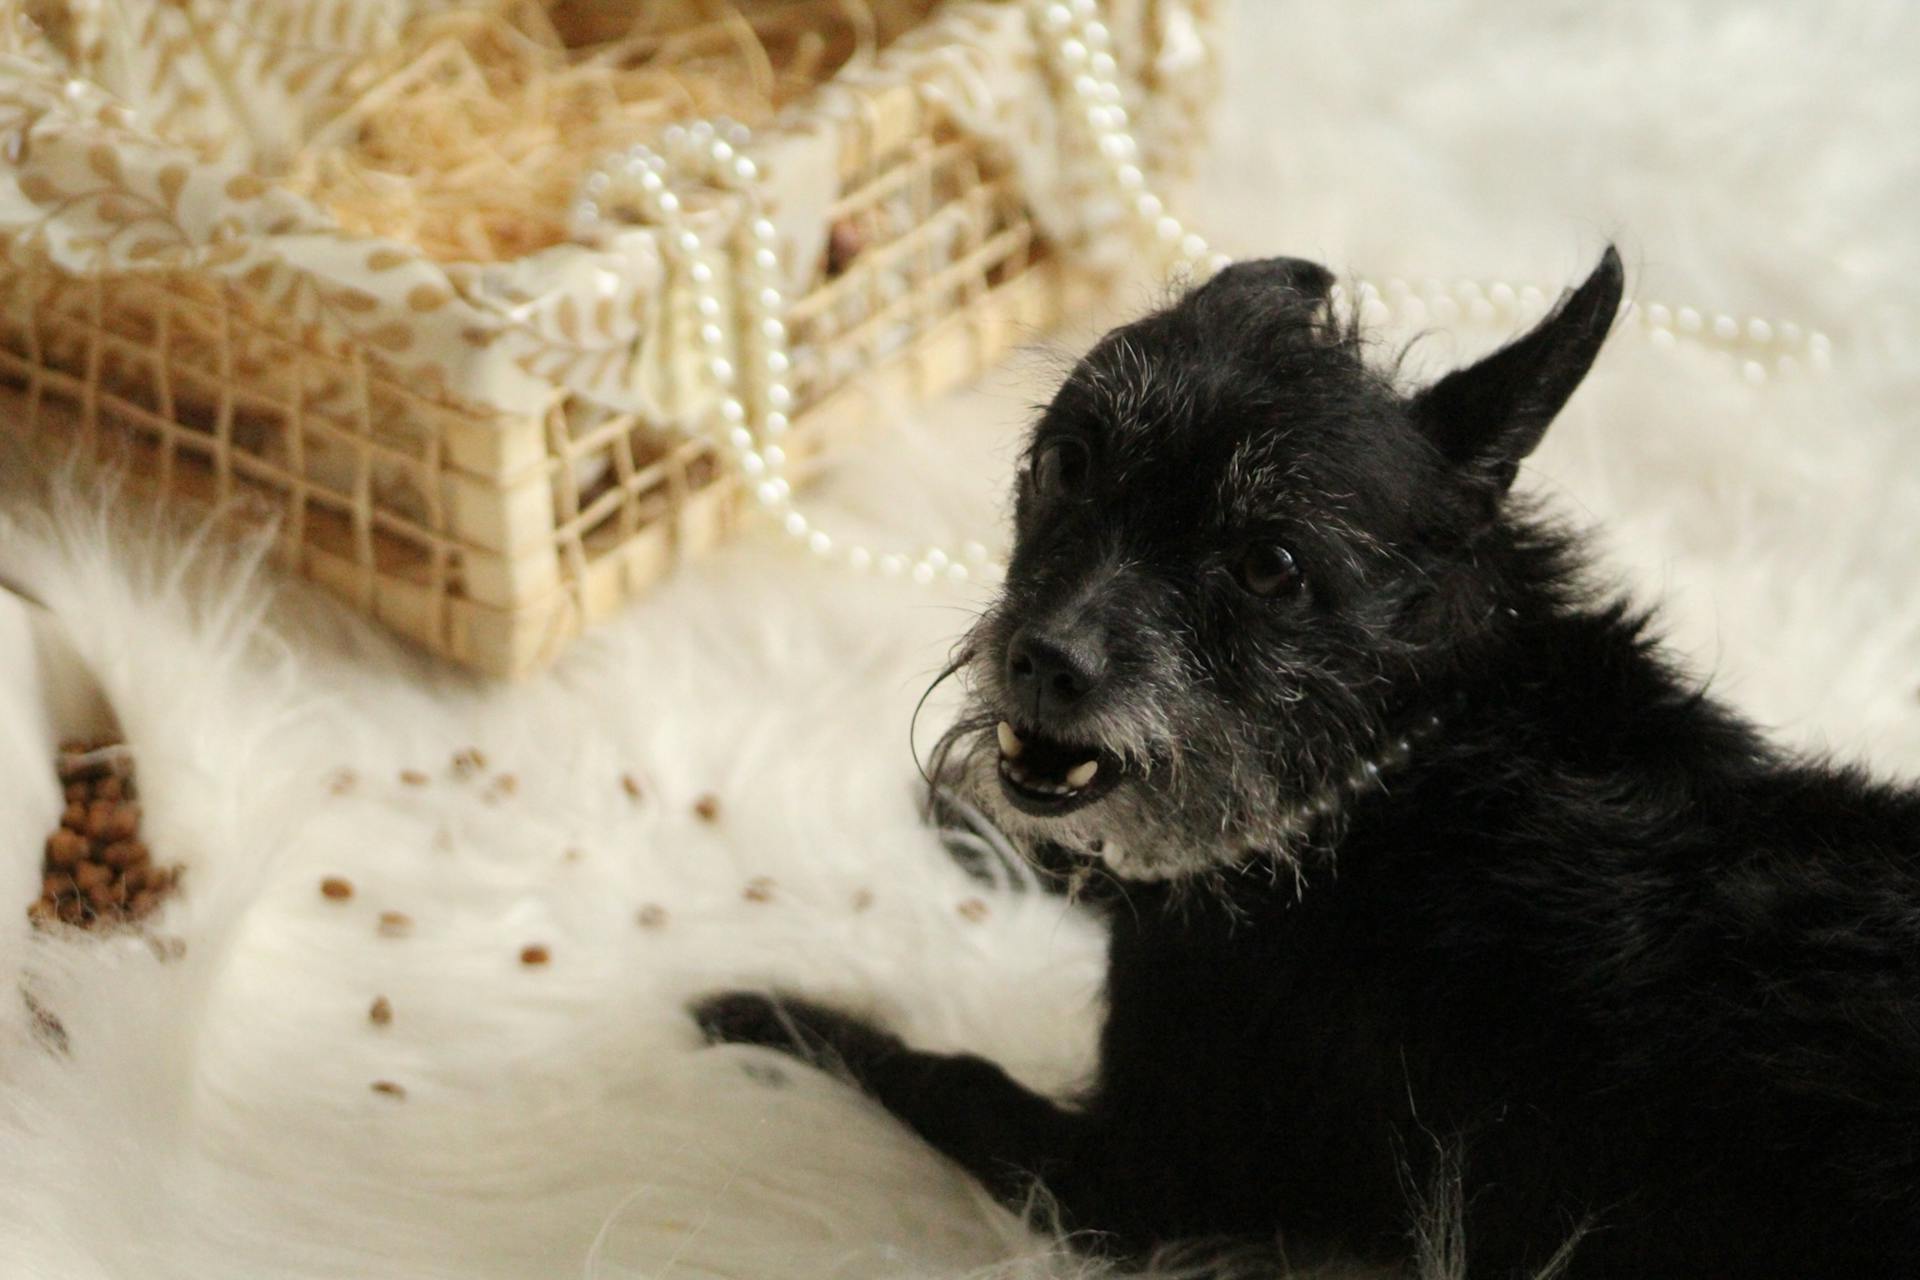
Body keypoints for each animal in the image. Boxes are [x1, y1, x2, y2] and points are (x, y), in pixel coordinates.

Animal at [695, 245, 1920, 1274]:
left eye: (1271, 566)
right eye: (1068, 462)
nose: (1042, 661)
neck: (1398, 768)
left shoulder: (1130, 1189)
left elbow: (945, 1070)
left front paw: (767, 1016)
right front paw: (977, 828)